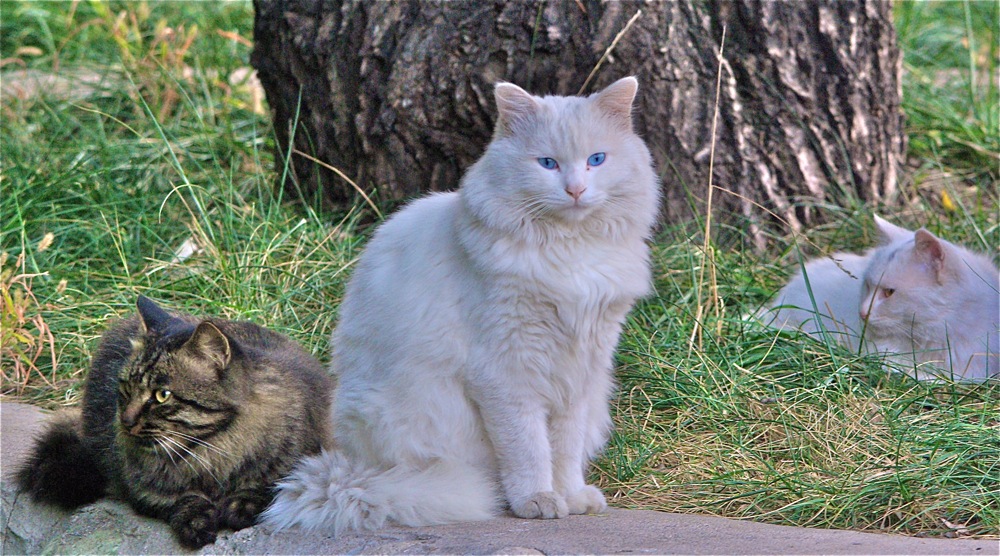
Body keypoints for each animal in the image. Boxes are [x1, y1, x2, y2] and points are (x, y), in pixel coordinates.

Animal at [15, 298, 334, 544]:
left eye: (162, 395)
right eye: (127, 388)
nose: (126, 420)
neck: (214, 452)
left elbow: (268, 485)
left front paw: (242, 504)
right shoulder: (142, 489)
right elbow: (180, 501)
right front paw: (196, 521)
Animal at [262, 76, 660, 532]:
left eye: (597, 159)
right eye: (547, 163)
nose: (575, 189)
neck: (571, 250)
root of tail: (357, 468)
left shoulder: (579, 373)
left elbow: (566, 450)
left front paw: (572, 497)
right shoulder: (507, 374)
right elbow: (529, 450)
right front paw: (537, 500)